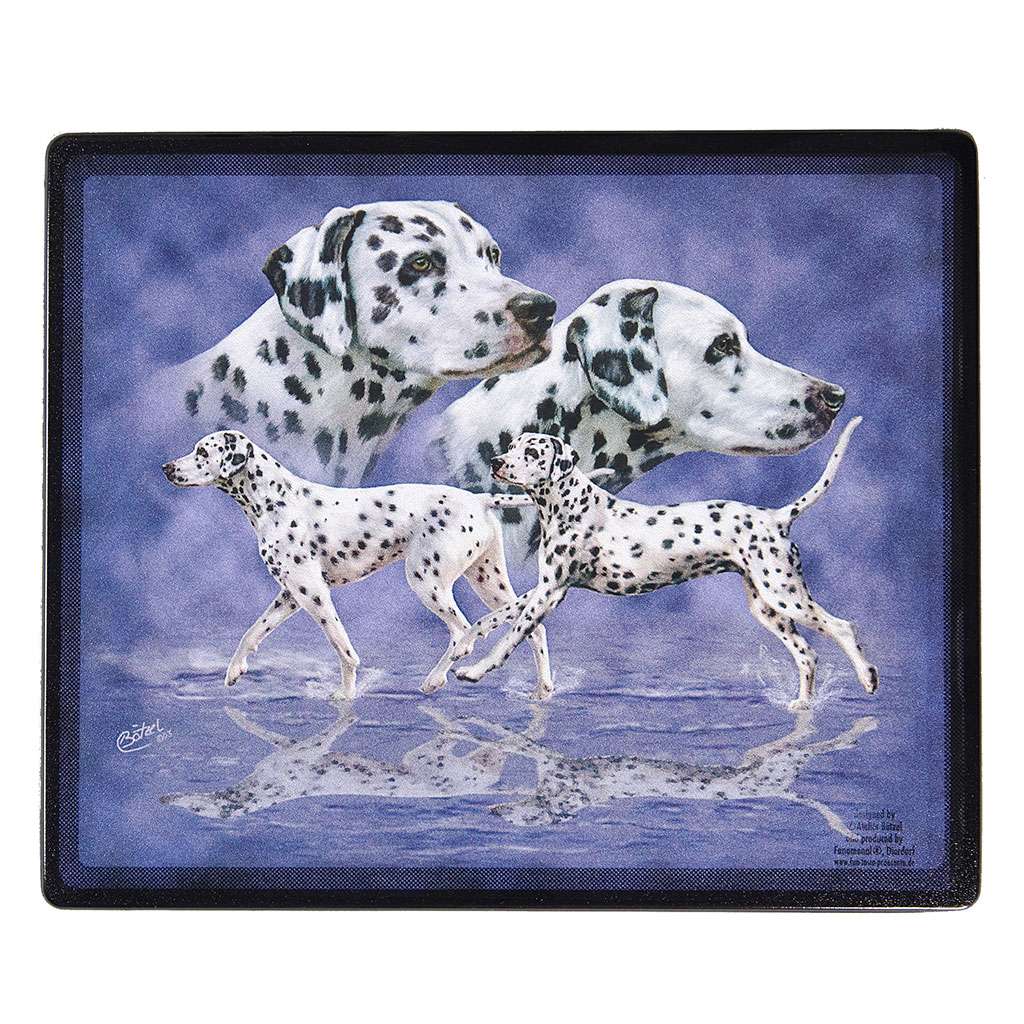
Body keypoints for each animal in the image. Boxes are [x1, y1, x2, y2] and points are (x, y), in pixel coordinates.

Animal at [162, 430, 553, 699]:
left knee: (463, 633)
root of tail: (481, 499)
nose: (167, 467)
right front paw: (233, 672)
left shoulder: (314, 594)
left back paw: (433, 680)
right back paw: (542, 691)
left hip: (426, 581)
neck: (277, 500)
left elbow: (343, 649)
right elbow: (252, 633)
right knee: (532, 629)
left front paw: (346, 695)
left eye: (202, 451)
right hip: (487, 580)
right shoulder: (291, 595)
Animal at [452, 419, 878, 711]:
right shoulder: (543, 588)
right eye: (512, 445)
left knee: (843, 628)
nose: (496, 462)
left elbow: (512, 636)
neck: (571, 505)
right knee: (808, 654)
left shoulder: (551, 592)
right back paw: (803, 705)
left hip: (786, 596)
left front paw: (475, 669)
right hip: (768, 607)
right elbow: (501, 616)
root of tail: (776, 516)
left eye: (533, 453)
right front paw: (467, 645)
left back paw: (868, 678)